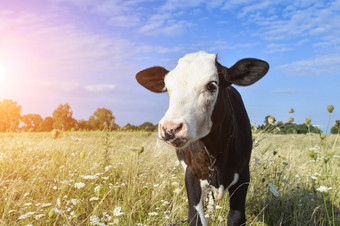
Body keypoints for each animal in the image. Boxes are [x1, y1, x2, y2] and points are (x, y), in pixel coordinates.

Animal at [135, 51, 268, 226]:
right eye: (167, 88)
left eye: (211, 85)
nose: (170, 128)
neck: (217, 150)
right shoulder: (191, 174)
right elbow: (195, 217)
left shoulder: (243, 175)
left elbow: (236, 217)